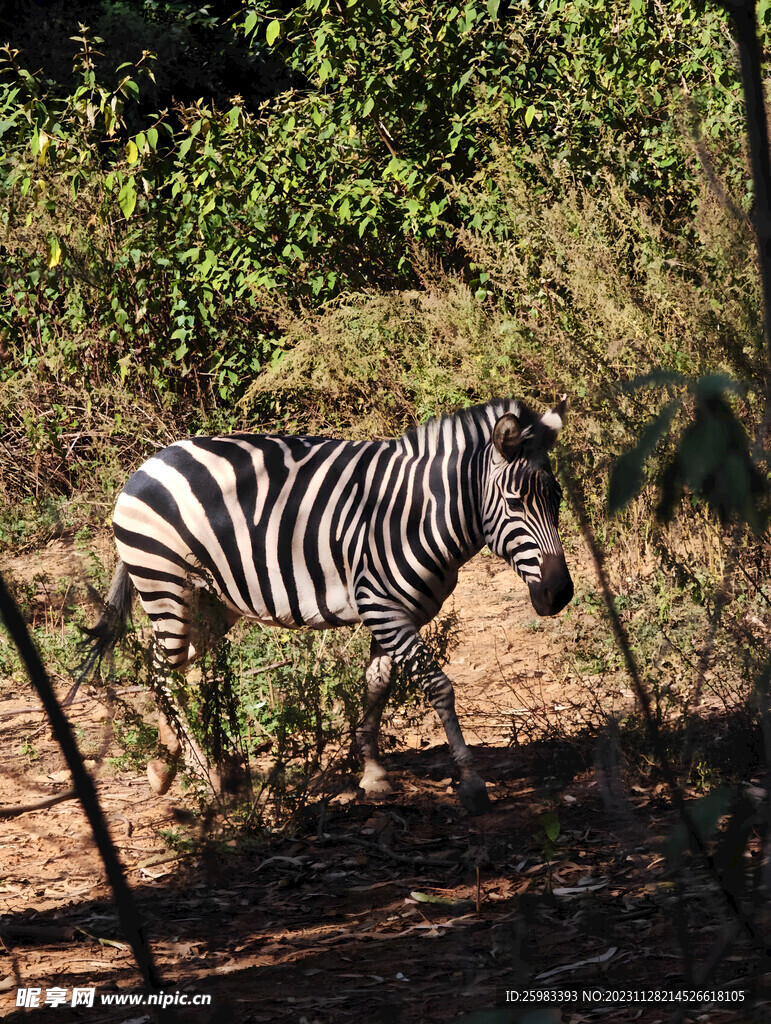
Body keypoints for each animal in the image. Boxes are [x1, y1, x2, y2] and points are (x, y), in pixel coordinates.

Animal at [82, 395, 573, 811]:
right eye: (514, 502)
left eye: (558, 498)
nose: (560, 594)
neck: (418, 514)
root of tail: (151, 462)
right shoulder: (382, 607)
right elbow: (438, 686)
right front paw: (470, 780)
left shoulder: (397, 613)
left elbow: (376, 685)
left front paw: (373, 773)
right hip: (166, 583)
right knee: (163, 671)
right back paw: (206, 778)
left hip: (208, 603)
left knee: (164, 667)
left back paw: (168, 763)